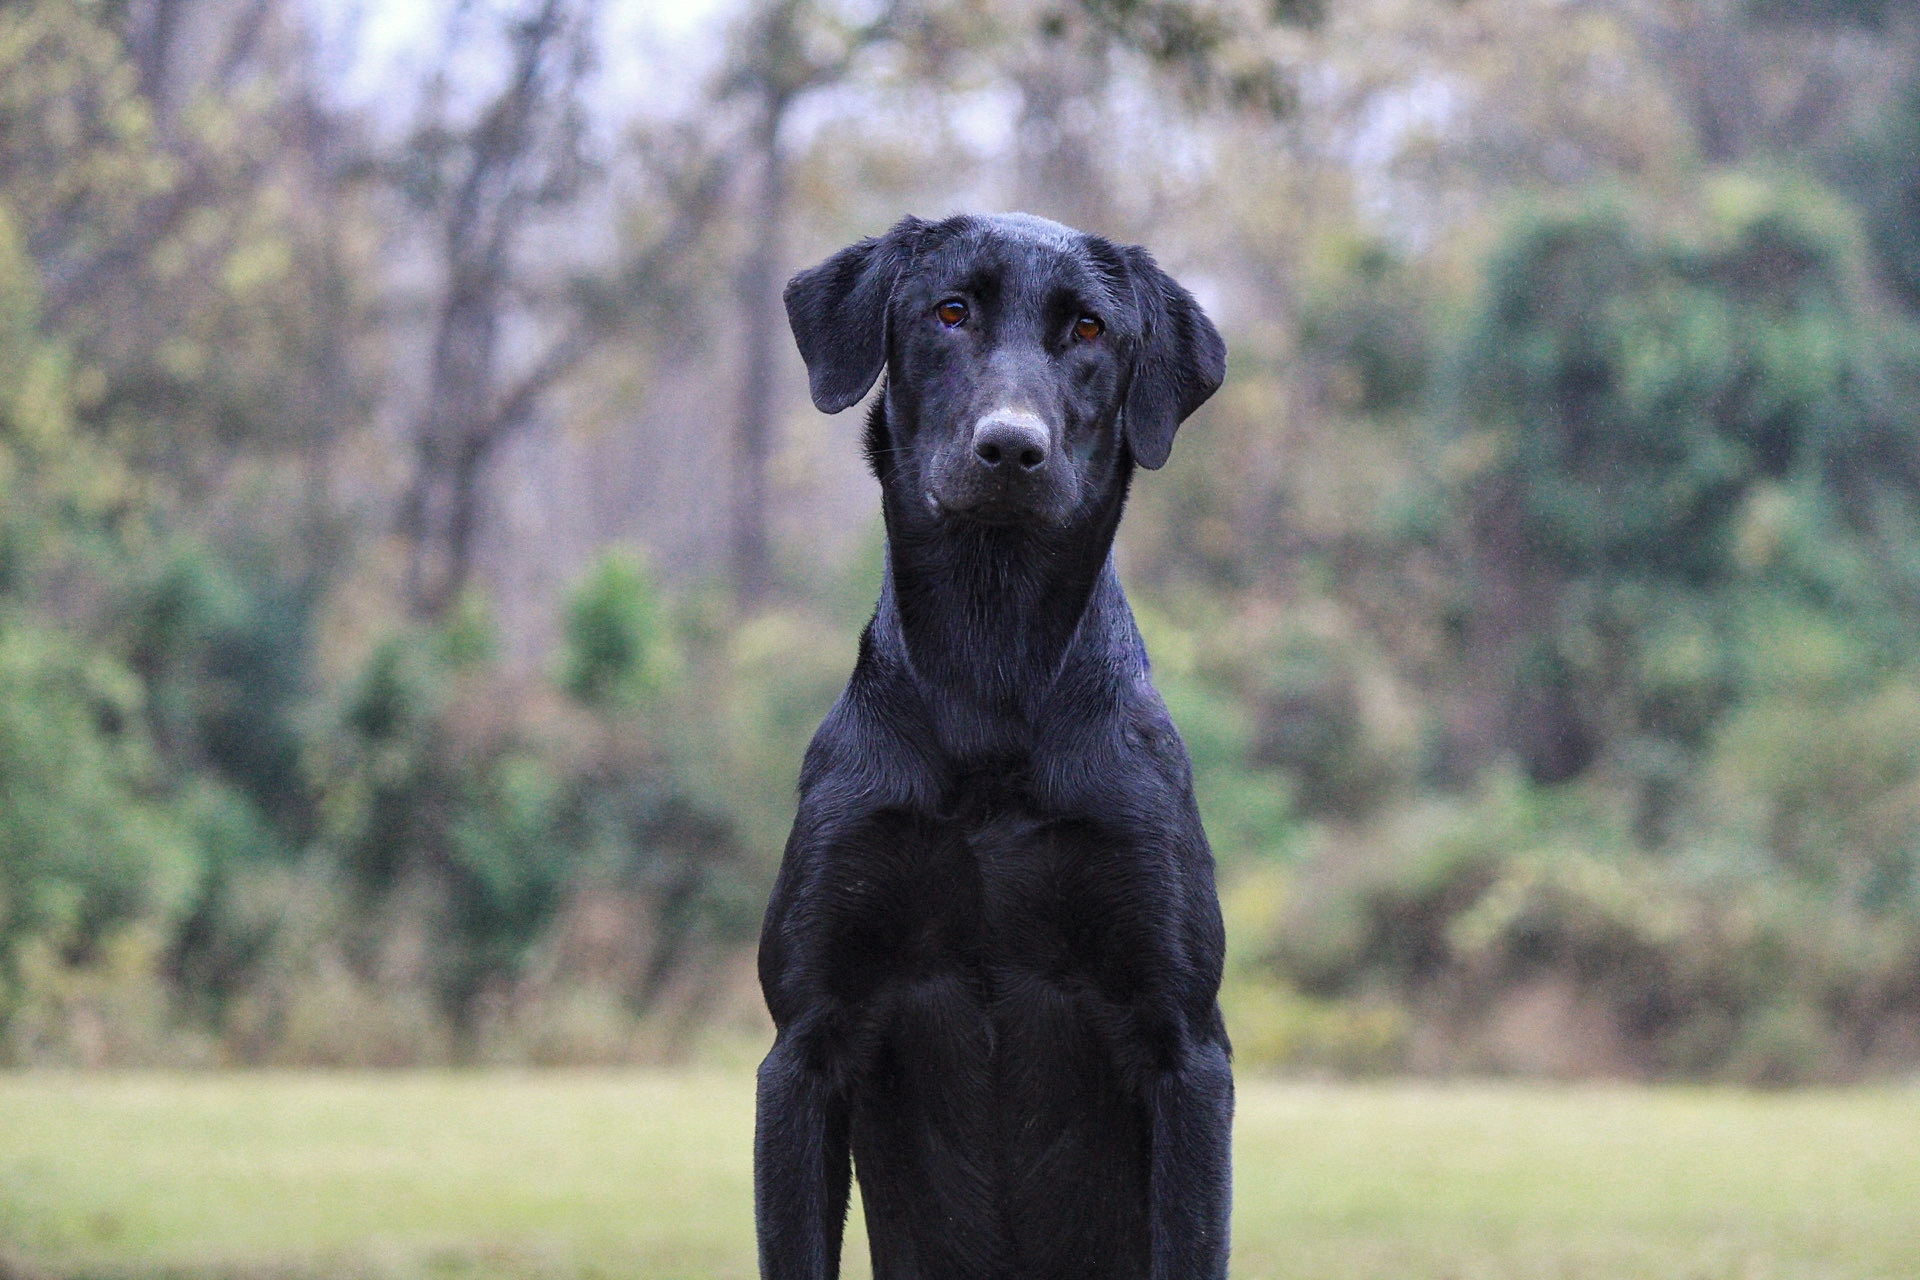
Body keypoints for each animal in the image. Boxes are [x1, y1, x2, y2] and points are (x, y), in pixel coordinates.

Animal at [752, 213, 1228, 1280]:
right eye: (950, 311)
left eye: (1089, 328)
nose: (1012, 448)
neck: (991, 668)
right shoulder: (804, 1044)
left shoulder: (1185, 1047)